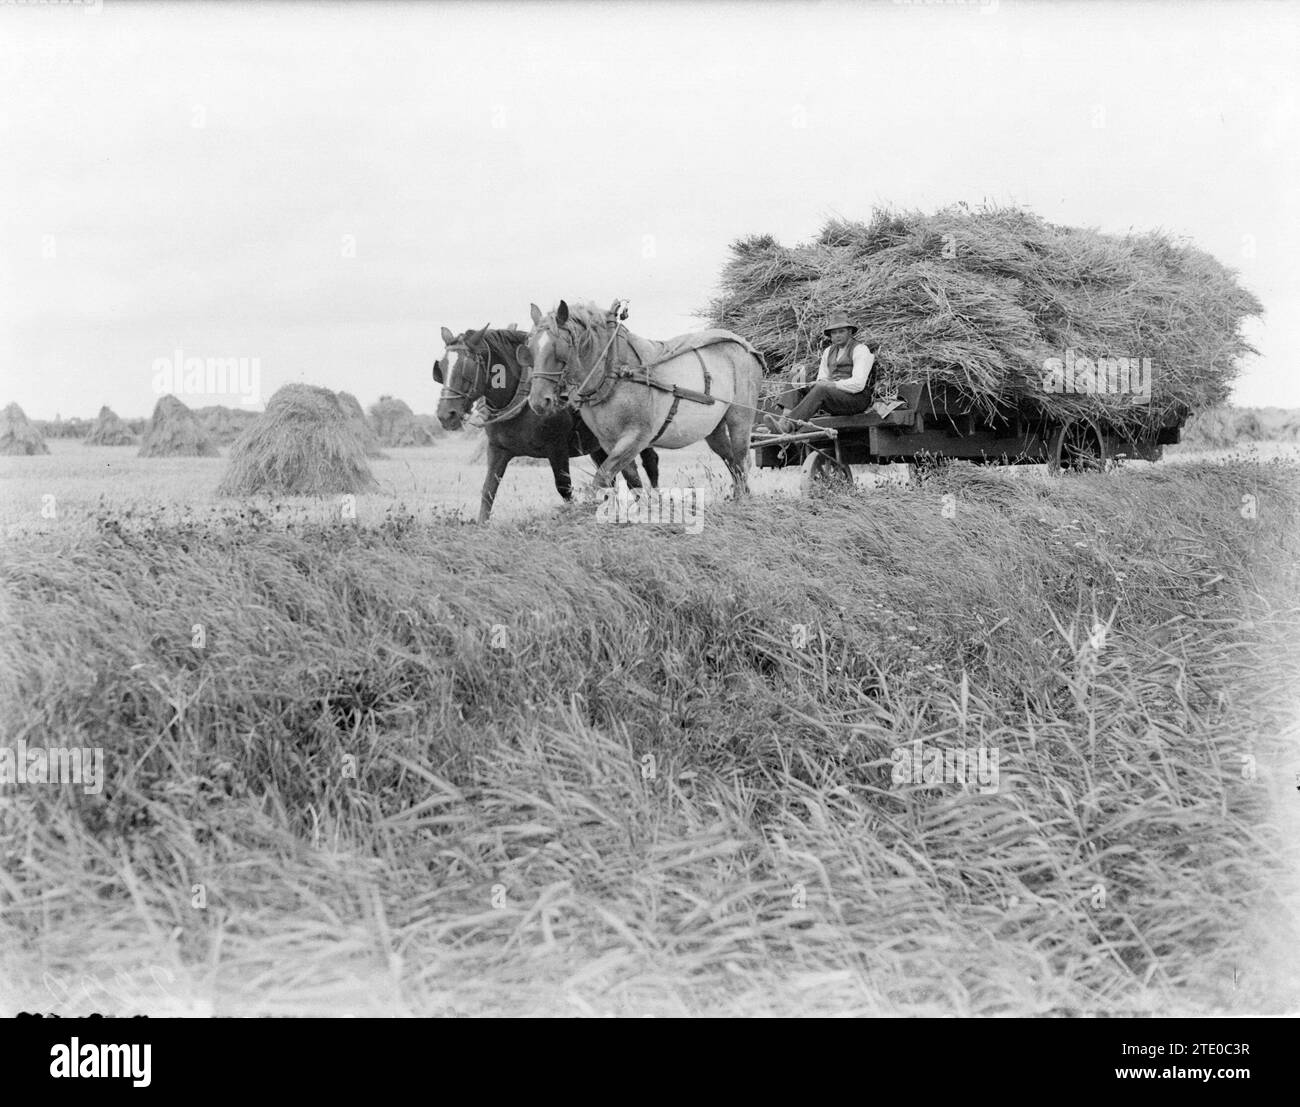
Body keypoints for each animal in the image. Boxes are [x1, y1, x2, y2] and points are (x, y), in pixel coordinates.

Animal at [436, 324, 660, 522]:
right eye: (442, 367)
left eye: (466, 367)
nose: (446, 415)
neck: (521, 399)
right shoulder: (497, 450)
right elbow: (488, 490)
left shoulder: (557, 449)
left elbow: (564, 488)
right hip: (599, 446)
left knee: (648, 465)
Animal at [517, 298, 759, 496]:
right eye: (531, 349)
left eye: (558, 349)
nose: (538, 401)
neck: (614, 373)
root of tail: (746, 346)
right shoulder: (609, 442)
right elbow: (632, 480)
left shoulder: (637, 437)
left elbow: (602, 478)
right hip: (714, 428)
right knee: (731, 460)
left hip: (740, 418)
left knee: (741, 459)